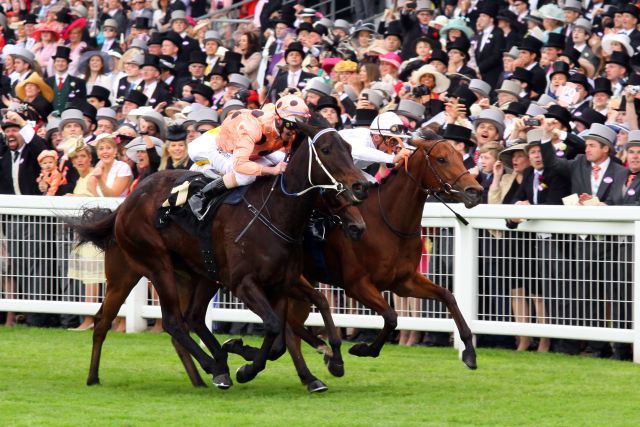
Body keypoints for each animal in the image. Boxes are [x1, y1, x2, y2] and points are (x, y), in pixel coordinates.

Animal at [67, 118, 368, 390]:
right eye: (327, 150)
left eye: (349, 148)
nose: (360, 187)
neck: (275, 214)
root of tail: (127, 201)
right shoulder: (243, 283)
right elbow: (274, 325)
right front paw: (246, 367)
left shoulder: (282, 283)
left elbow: (291, 329)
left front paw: (328, 360)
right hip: (151, 267)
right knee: (166, 322)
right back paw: (212, 367)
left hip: (196, 274)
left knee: (186, 318)